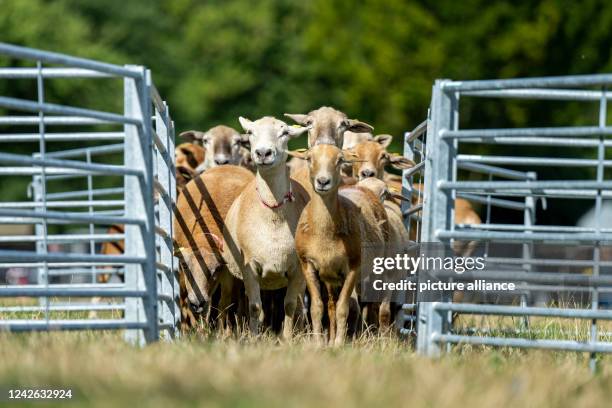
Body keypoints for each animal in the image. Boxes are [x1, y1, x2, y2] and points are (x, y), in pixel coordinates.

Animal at [172, 163, 253, 328]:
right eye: (185, 266)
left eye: (215, 269)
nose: (197, 303)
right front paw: (199, 331)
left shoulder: (227, 270)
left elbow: (224, 302)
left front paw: (222, 331)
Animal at [222, 115, 310, 338]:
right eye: (250, 132)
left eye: (285, 132)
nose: (263, 153)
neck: (273, 216)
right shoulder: (249, 266)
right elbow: (254, 308)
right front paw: (254, 338)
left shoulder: (297, 269)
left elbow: (289, 305)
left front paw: (287, 339)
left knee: (299, 305)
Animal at [290, 143, 388, 344]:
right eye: (309, 158)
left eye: (340, 160)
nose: (323, 181)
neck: (324, 234)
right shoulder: (308, 265)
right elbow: (317, 307)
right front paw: (319, 343)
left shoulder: (353, 266)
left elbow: (344, 308)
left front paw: (339, 344)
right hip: (331, 277)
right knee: (332, 305)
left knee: (370, 304)